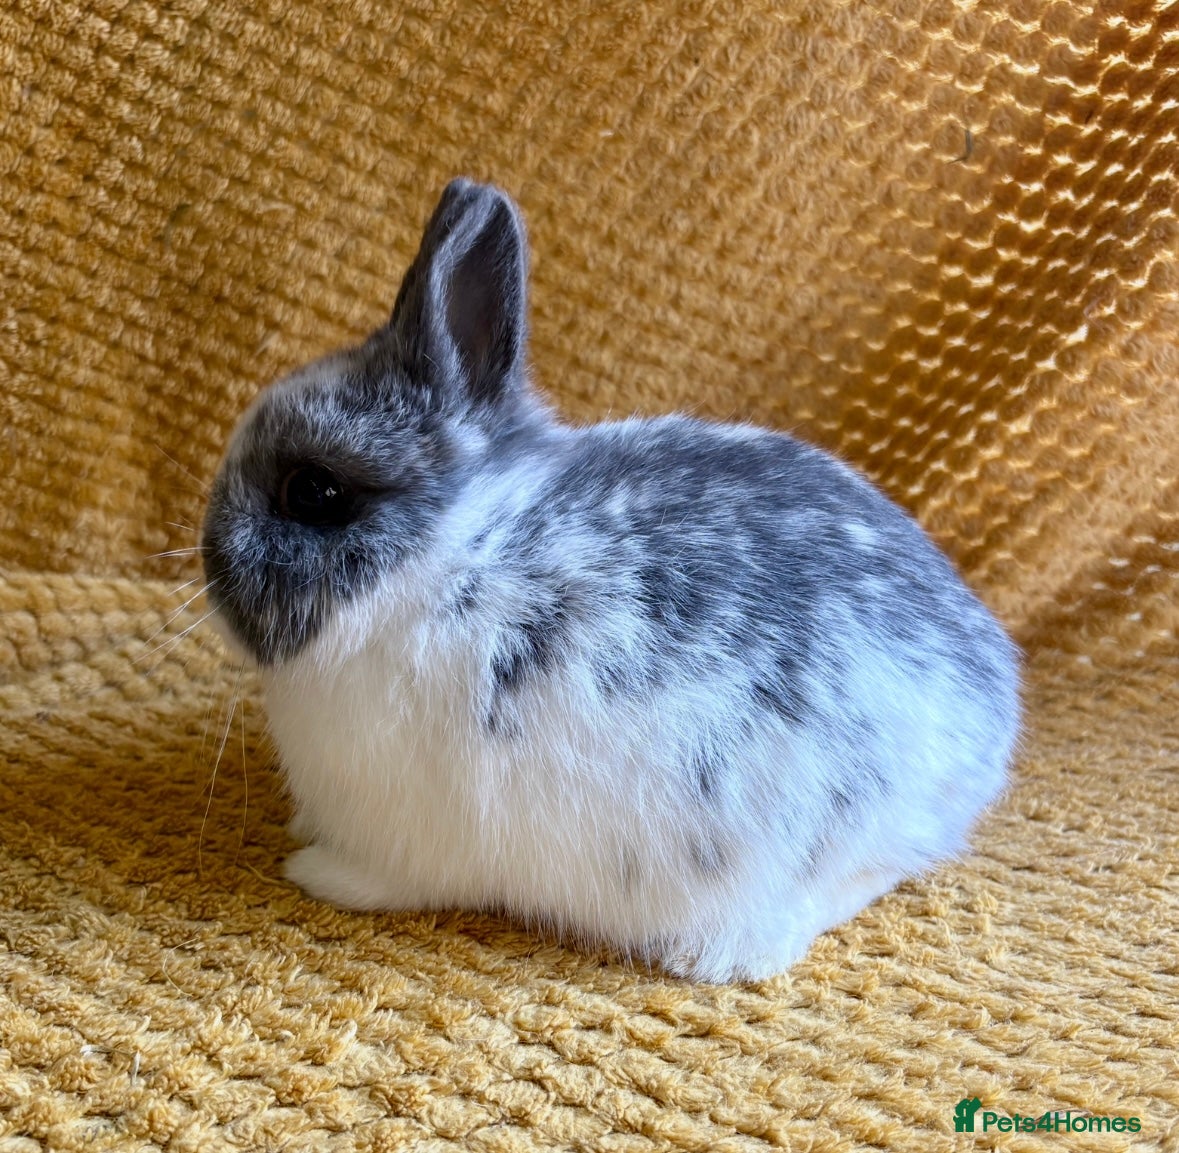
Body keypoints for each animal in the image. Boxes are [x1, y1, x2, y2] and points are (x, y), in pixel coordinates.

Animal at [200, 178, 1020, 982]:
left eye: (314, 492)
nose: (210, 557)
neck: (449, 558)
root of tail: (989, 720)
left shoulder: (403, 838)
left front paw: (310, 870)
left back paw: (717, 954)